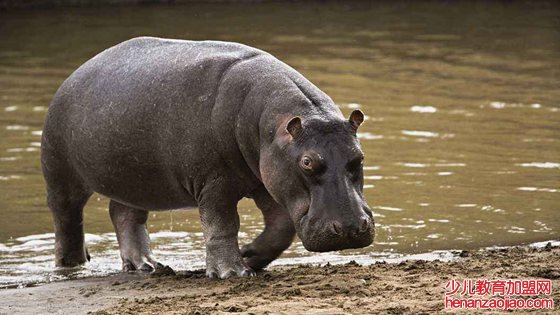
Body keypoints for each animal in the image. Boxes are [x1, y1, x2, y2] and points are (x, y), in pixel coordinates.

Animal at [41, 36, 376, 278]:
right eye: (307, 162)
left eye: (359, 157)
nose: (349, 229)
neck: (272, 125)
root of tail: (76, 72)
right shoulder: (214, 183)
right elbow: (222, 224)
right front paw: (232, 273)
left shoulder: (267, 179)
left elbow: (281, 228)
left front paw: (250, 256)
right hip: (60, 172)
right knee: (67, 220)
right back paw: (71, 267)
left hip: (134, 178)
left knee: (124, 215)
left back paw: (147, 266)